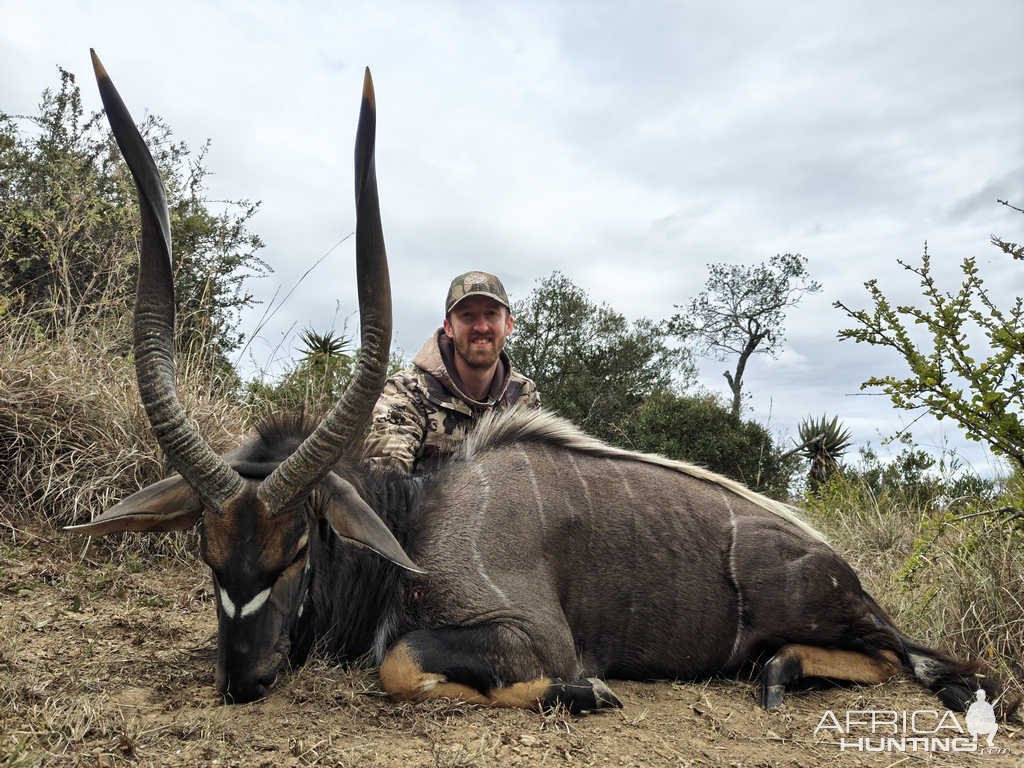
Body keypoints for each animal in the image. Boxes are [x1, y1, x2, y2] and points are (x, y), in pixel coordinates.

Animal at [74, 51, 1015, 720]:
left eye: (299, 547)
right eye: (206, 553)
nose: (246, 678)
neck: (419, 522)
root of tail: (835, 561)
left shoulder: (529, 636)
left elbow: (402, 664)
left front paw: (587, 691)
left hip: (834, 616)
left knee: (914, 659)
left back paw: (784, 674)